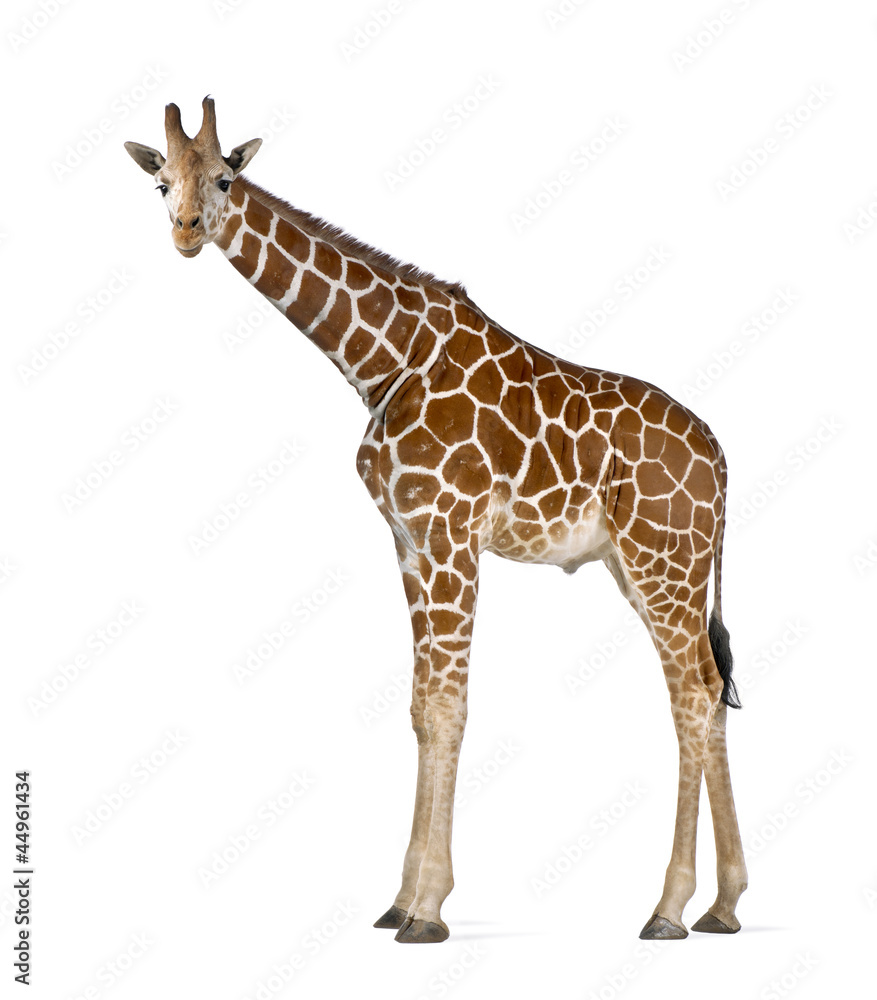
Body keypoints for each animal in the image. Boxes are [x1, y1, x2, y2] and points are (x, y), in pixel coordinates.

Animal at [125, 97, 748, 944]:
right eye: (161, 182)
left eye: (224, 177)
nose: (188, 230)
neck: (379, 361)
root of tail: (718, 454)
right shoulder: (411, 539)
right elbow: (422, 707)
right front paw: (400, 899)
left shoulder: (452, 532)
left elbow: (450, 707)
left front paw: (427, 910)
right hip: (645, 564)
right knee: (706, 688)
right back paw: (723, 904)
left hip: (663, 558)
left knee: (690, 692)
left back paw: (667, 908)